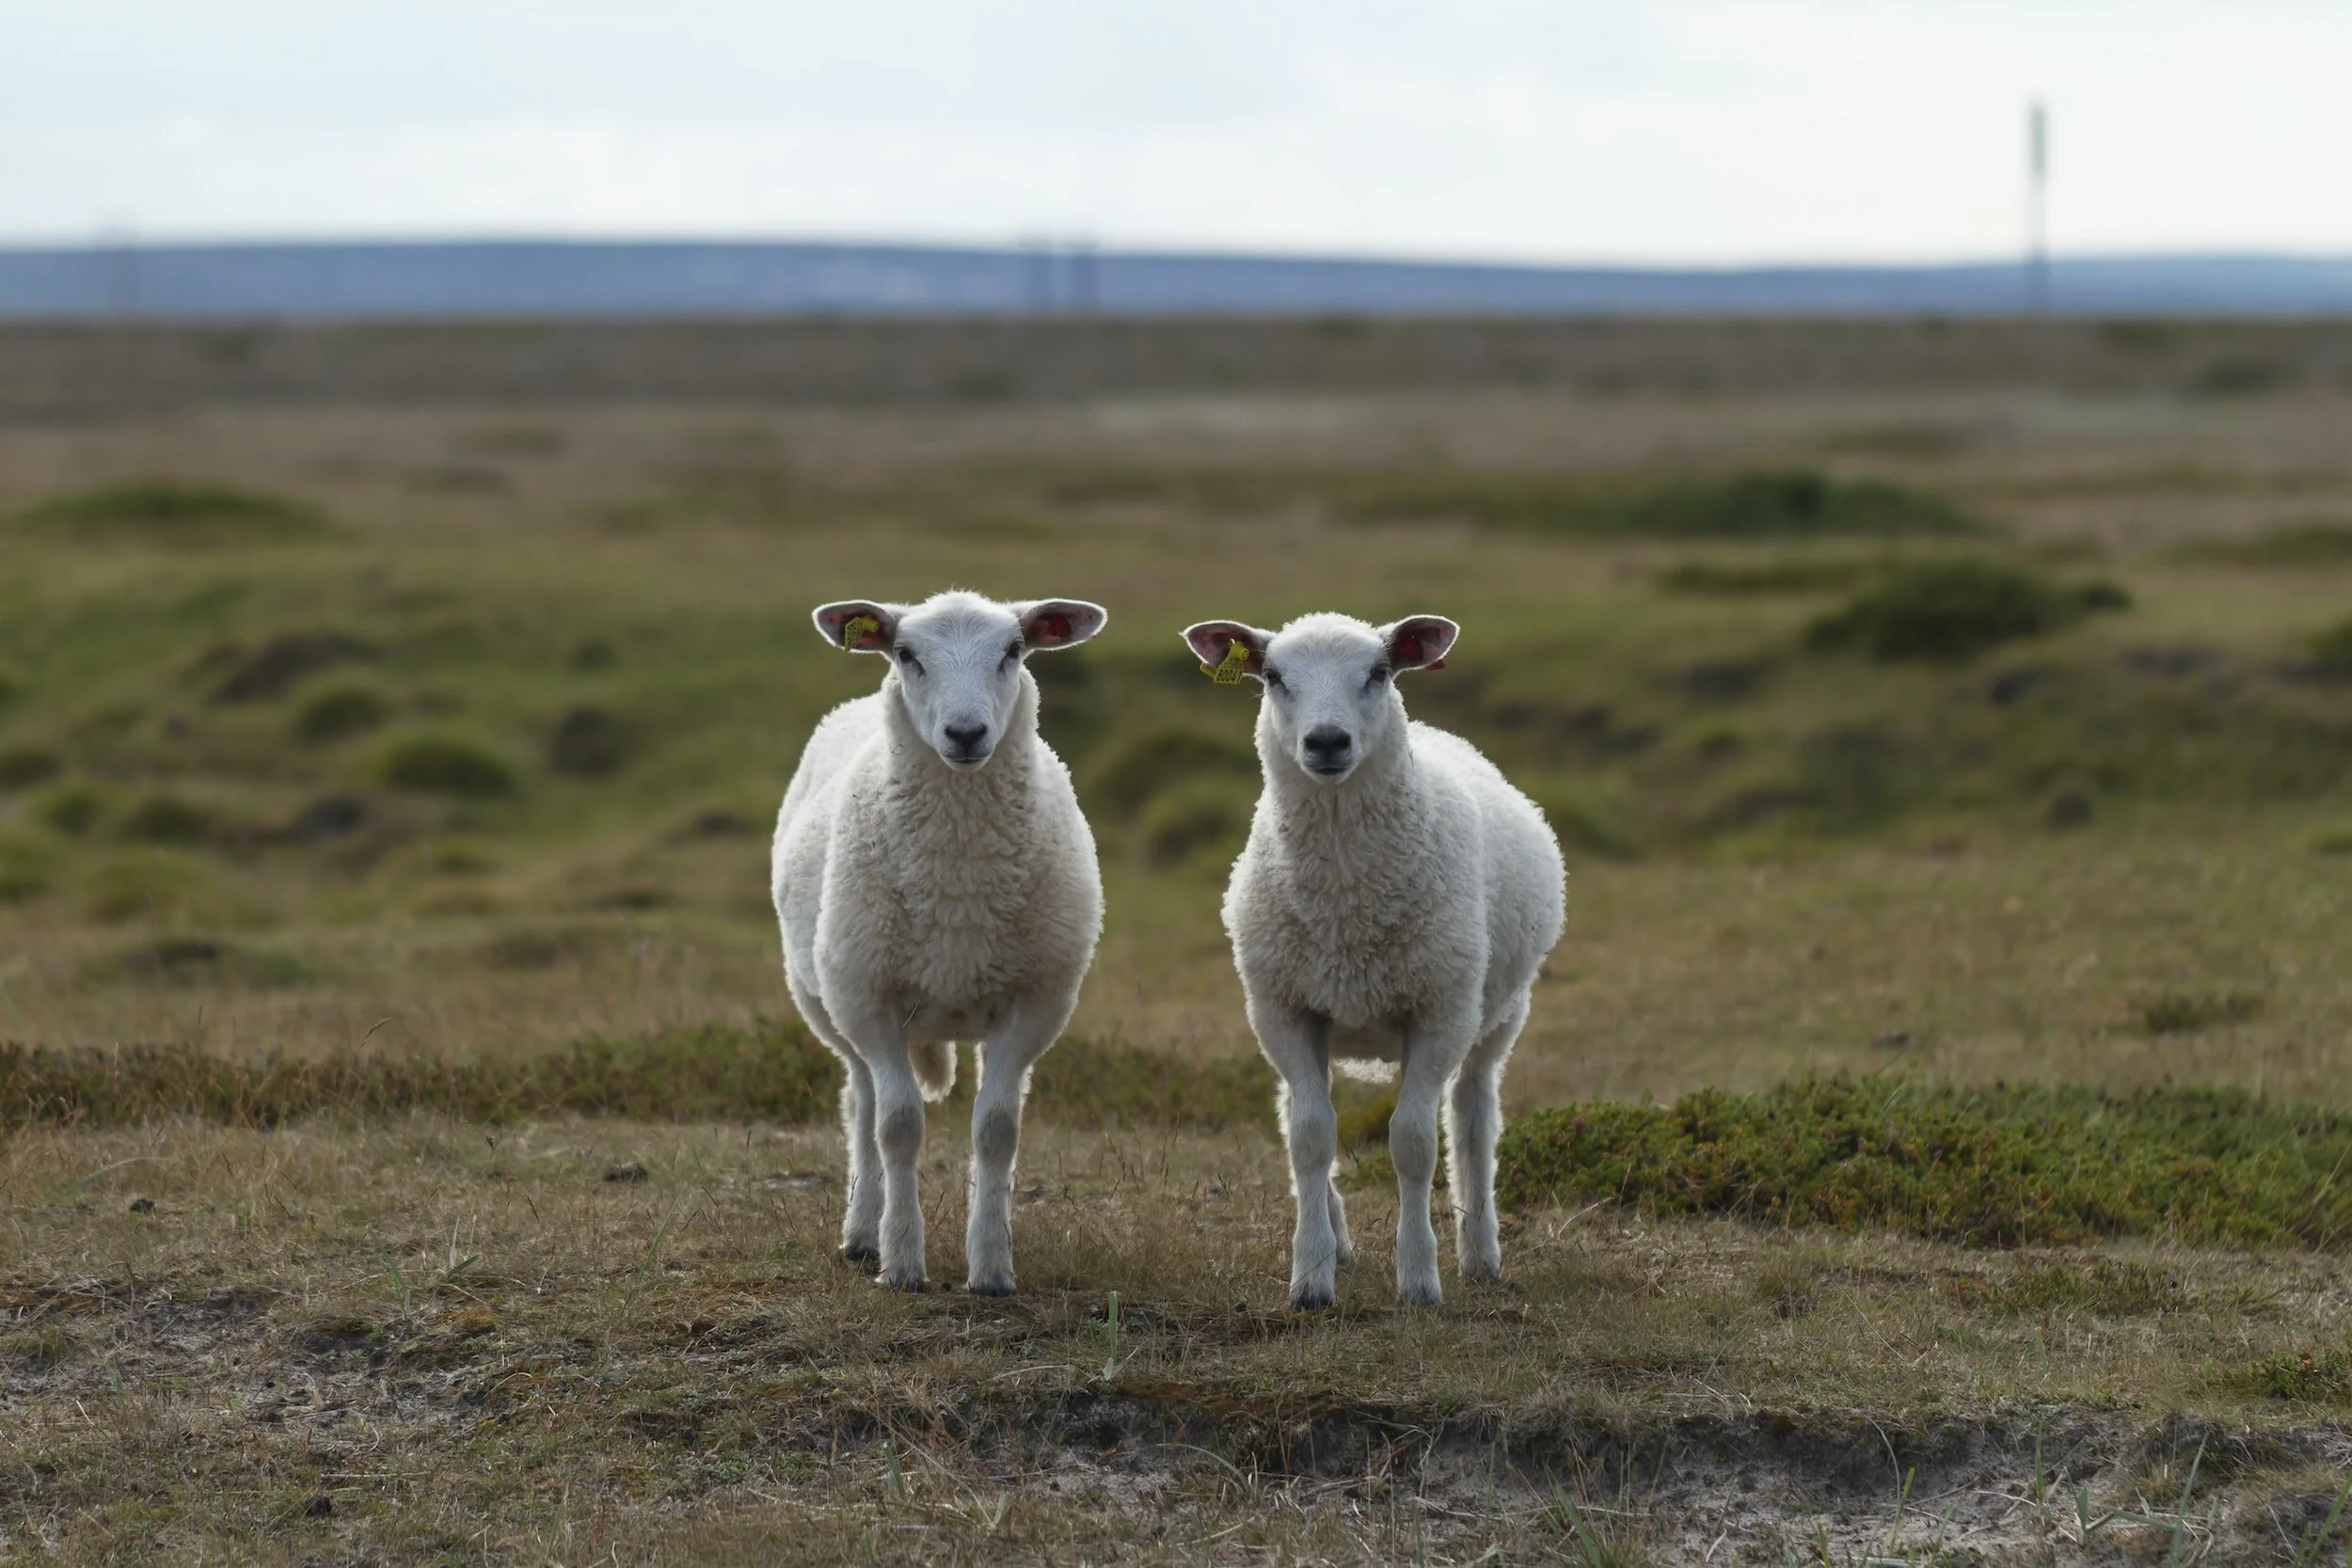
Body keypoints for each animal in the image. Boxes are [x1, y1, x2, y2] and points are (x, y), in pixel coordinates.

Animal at [774, 590, 1107, 1294]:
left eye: (1014, 650)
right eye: (906, 653)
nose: (965, 733)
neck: (959, 878)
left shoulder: (1033, 1003)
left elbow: (997, 1130)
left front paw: (992, 1265)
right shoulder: (871, 1001)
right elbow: (898, 1128)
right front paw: (902, 1260)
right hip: (832, 1001)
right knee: (862, 1103)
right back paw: (863, 1232)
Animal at [1180, 612, 1565, 1309]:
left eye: (1380, 672)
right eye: (1272, 676)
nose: (1327, 740)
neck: (1346, 900)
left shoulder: (1439, 1012)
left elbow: (1413, 1144)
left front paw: (1418, 1278)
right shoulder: (1283, 1010)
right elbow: (1310, 1136)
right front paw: (1310, 1276)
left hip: (1496, 1014)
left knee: (1472, 1118)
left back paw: (1480, 1251)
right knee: (1295, 1112)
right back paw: (1337, 1237)